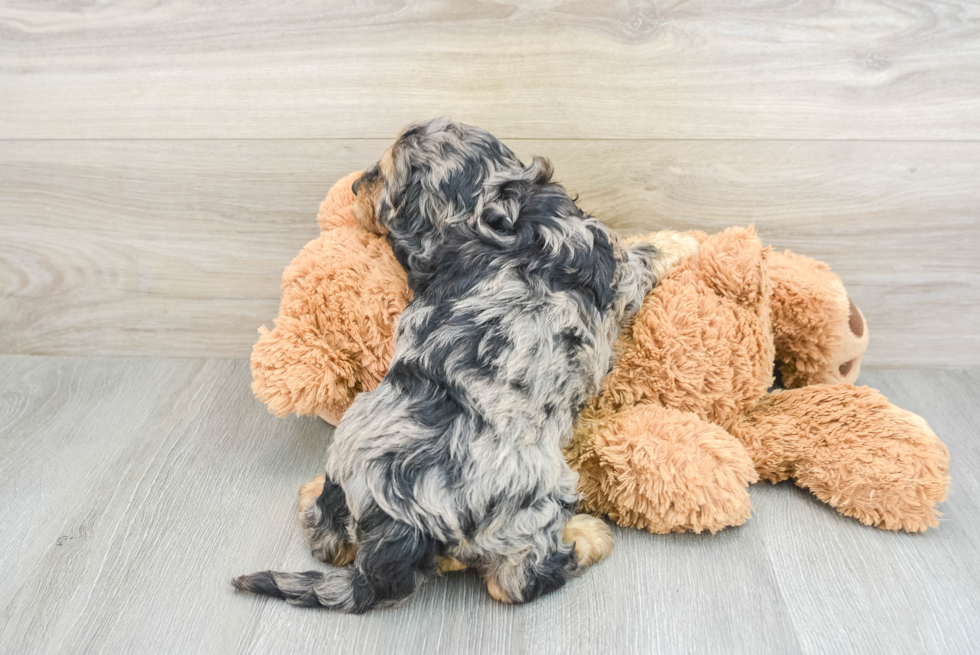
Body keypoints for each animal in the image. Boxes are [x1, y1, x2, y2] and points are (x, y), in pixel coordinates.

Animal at [236, 119, 664, 616]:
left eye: (379, 176)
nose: (355, 186)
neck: (487, 210)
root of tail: (398, 532)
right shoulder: (613, 265)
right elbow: (639, 258)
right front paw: (670, 244)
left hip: (349, 450)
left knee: (327, 535)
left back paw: (312, 494)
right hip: (531, 503)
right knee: (515, 581)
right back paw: (587, 536)